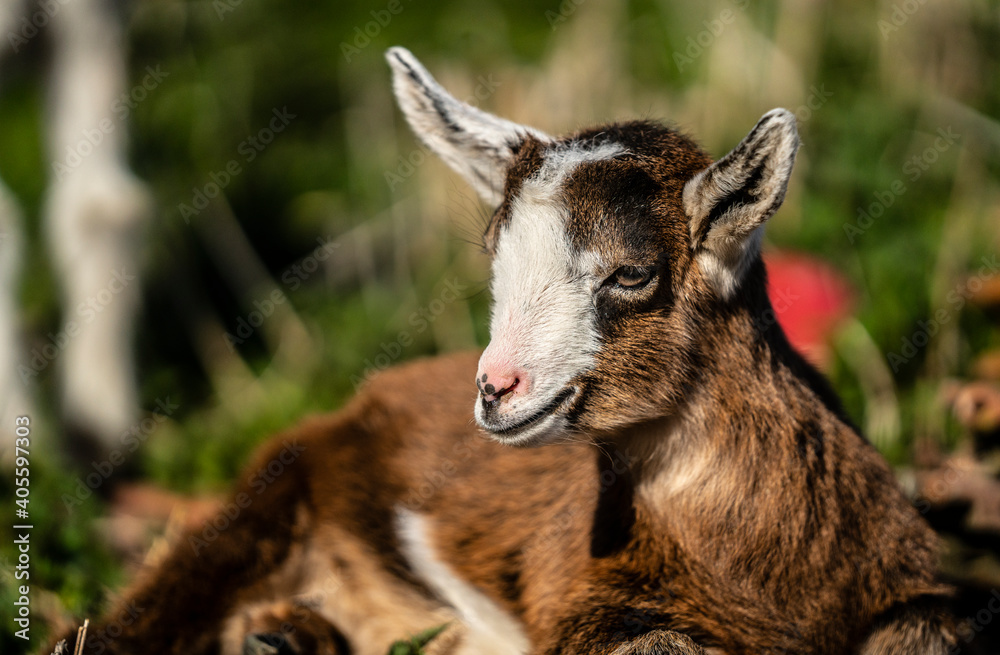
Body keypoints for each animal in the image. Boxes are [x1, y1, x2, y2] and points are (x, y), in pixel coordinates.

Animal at [52, 48, 952, 655]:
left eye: (632, 271)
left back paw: (283, 635)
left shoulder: (913, 594)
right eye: (494, 254)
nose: (496, 387)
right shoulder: (582, 595)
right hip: (262, 504)